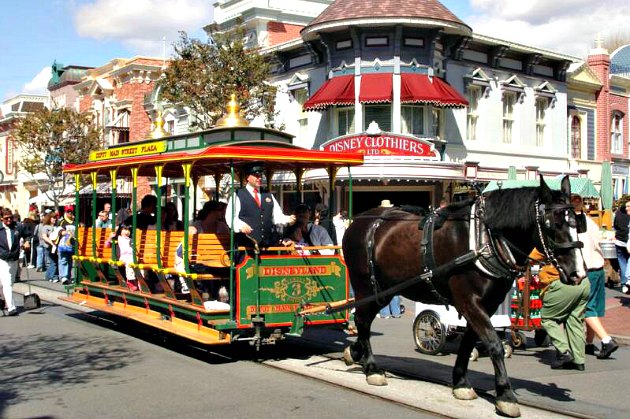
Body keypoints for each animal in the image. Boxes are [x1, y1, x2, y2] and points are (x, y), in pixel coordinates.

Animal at [344, 176, 592, 418]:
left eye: (577, 223)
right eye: (552, 224)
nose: (578, 273)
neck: (484, 239)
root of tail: (359, 221)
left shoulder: (486, 304)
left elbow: (469, 341)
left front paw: (461, 383)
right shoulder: (469, 301)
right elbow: (494, 344)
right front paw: (506, 396)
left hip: (385, 291)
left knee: (364, 320)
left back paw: (355, 352)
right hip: (366, 286)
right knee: (362, 321)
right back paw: (372, 368)